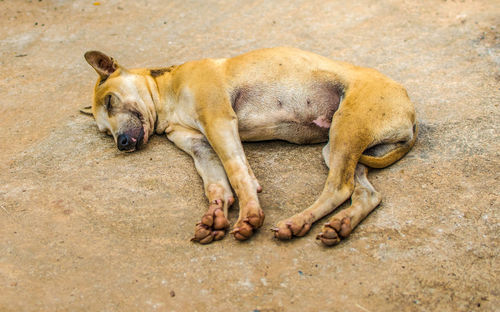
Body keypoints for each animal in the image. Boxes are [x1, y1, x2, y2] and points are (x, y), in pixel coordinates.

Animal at [83, 47, 418, 246]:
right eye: (104, 132)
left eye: (110, 101)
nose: (121, 144)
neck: (167, 92)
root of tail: (412, 114)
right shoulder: (200, 145)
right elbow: (216, 184)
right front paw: (216, 216)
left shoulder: (219, 122)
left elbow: (238, 174)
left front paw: (249, 215)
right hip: (345, 150)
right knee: (366, 193)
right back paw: (340, 225)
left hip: (345, 134)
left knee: (339, 187)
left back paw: (298, 222)